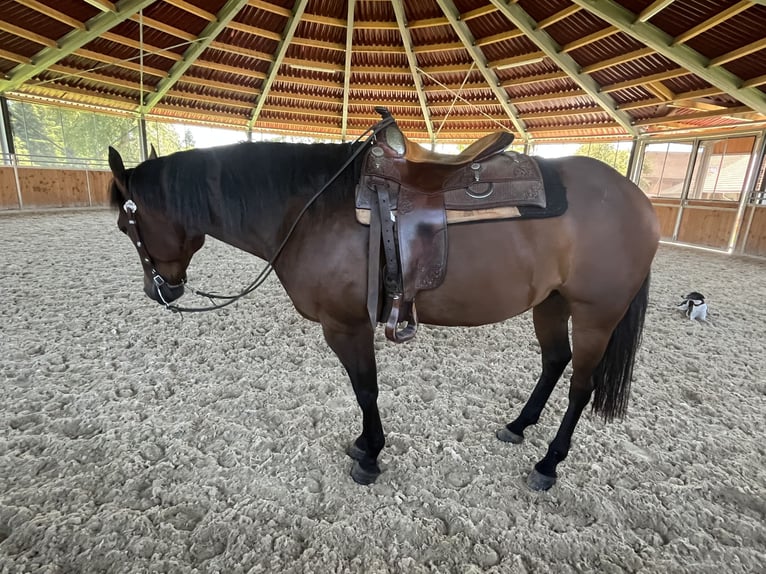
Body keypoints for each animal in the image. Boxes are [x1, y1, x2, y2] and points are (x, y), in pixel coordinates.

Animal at [106, 125, 660, 490]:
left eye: (124, 225)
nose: (159, 291)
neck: (308, 208)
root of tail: (636, 199)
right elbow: (363, 391)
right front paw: (365, 446)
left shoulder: (346, 325)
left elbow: (365, 390)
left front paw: (370, 455)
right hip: (550, 304)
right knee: (553, 362)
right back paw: (519, 426)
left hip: (596, 315)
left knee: (581, 387)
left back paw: (548, 464)